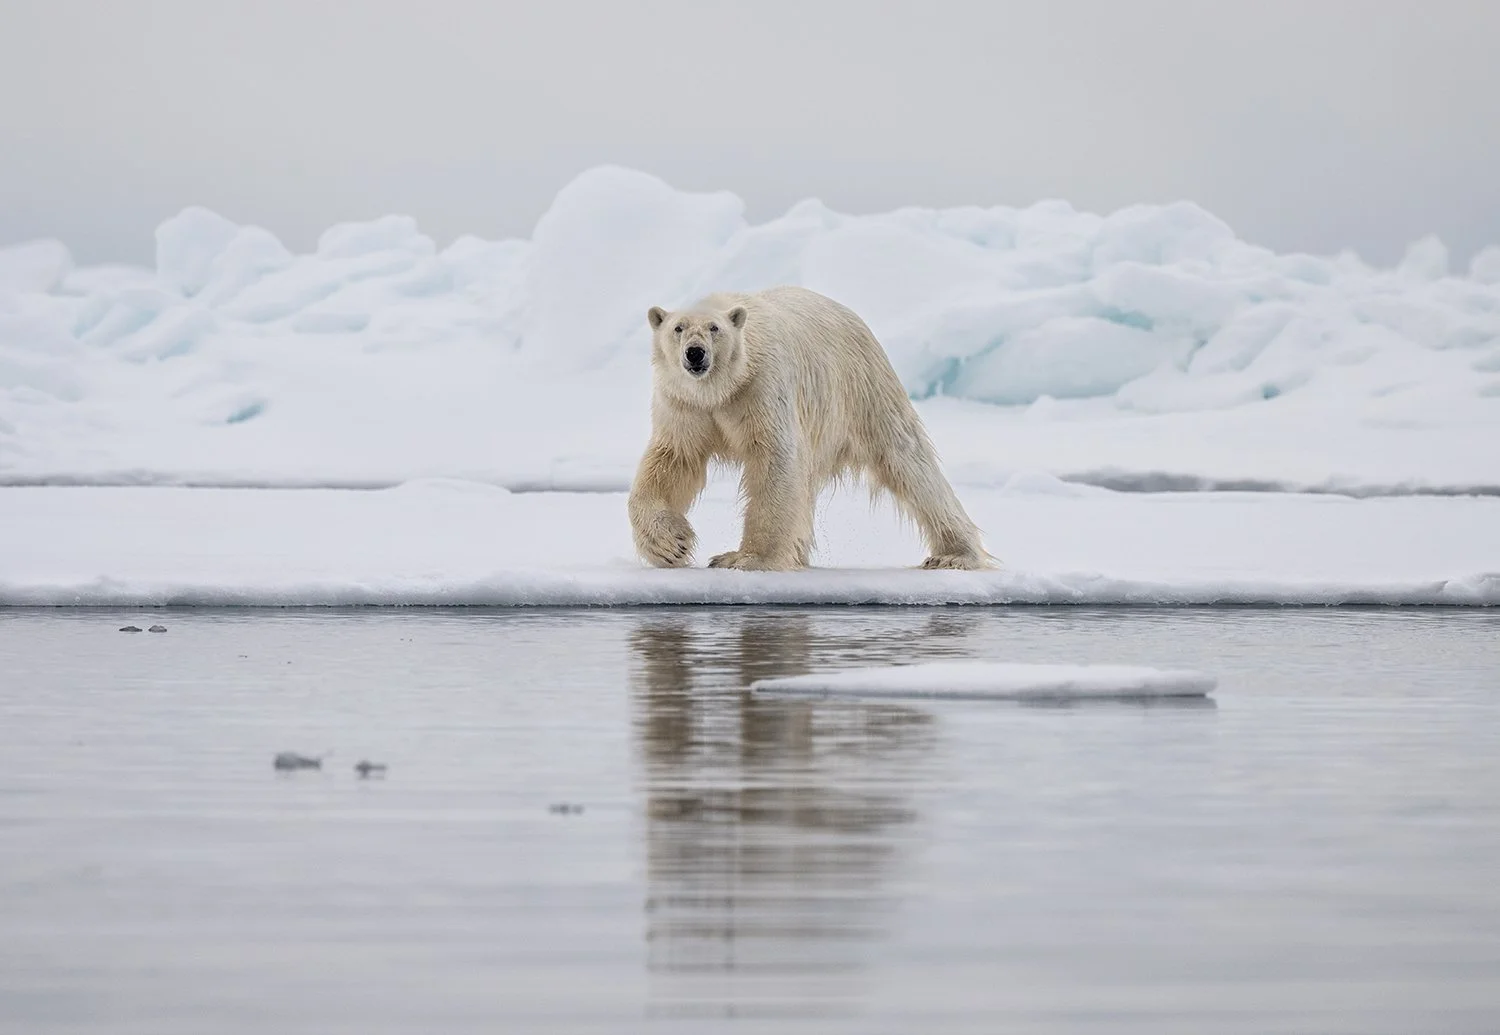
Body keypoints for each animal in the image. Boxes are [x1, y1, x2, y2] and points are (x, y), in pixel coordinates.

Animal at [626, 285, 994, 572]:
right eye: (678, 327)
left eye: (715, 328)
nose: (695, 353)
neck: (722, 390)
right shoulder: (685, 404)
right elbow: (674, 460)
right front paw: (671, 544)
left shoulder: (761, 388)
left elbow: (775, 460)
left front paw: (746, 558)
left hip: (863, 389)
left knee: (909, 462)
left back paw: (954, 554)